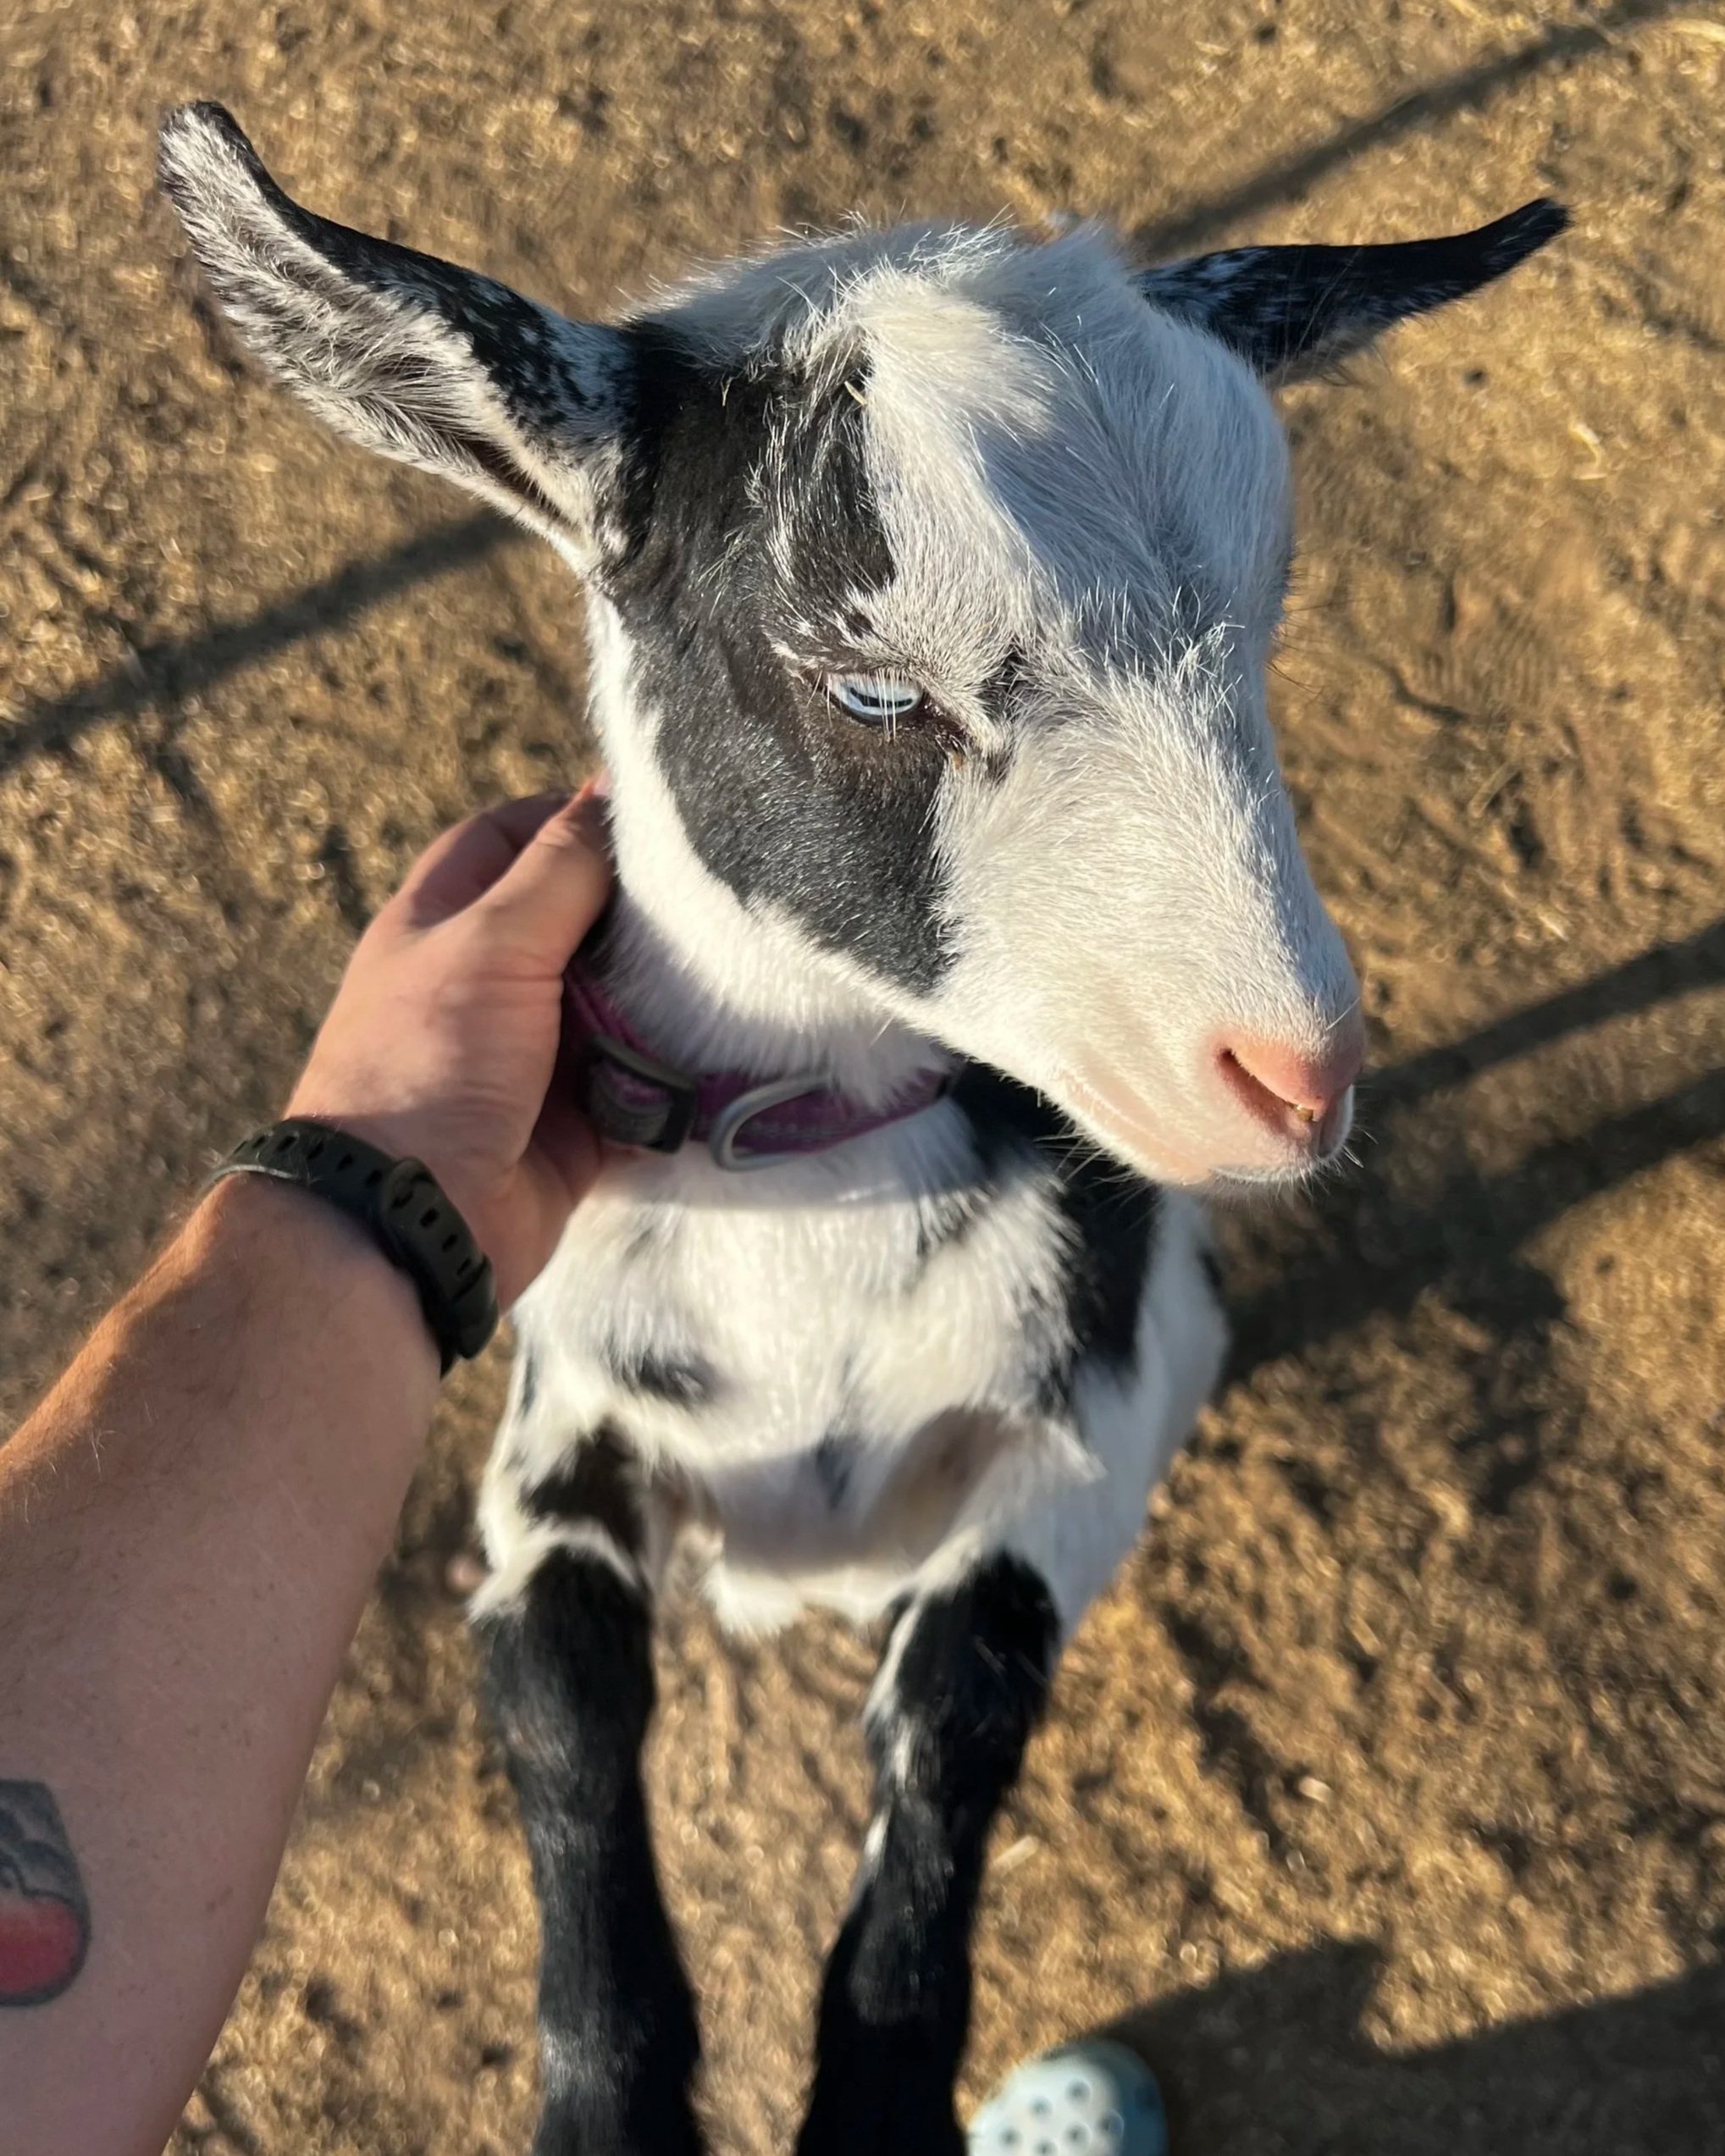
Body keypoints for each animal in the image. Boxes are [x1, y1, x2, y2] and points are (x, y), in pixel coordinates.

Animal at [159, 102, 1564, 2156]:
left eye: (1265, 618)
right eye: (873, 685)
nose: (1293, 1071)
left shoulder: (1103, 1400)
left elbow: (966, 1683)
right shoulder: (560, 1413)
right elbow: (562, 1692)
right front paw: (609, 2100)